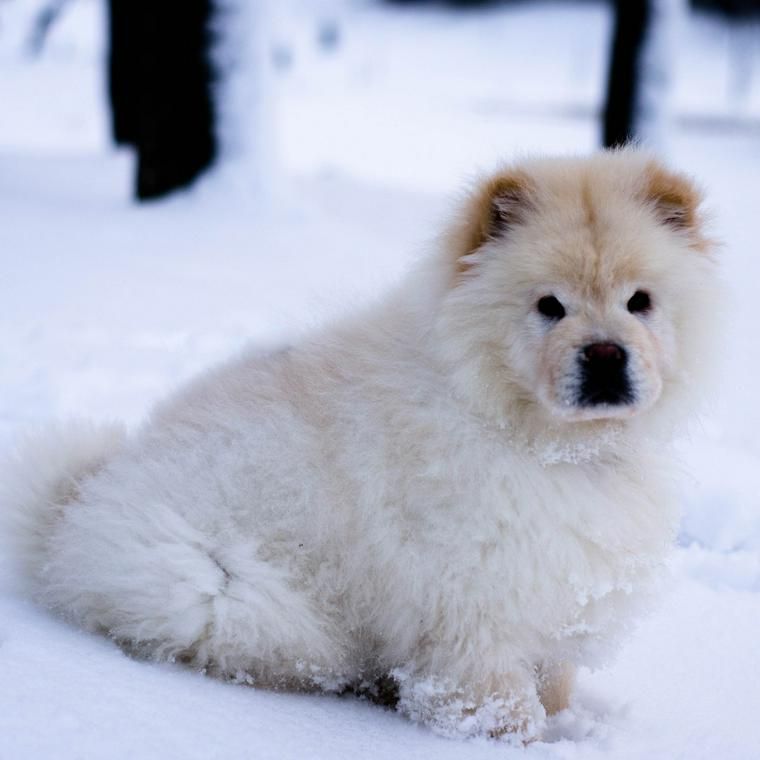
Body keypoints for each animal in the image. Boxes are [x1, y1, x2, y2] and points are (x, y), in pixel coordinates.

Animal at [0, 150, 716, 744]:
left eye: (640, 302)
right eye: (549, 306)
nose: (605, 355)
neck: (547, 443)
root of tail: (73, 509)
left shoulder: (558, 593)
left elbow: (555, 680)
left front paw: (566, 723)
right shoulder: (473, 608)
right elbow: (499, 700)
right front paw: (520, 740)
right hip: (230, 594)